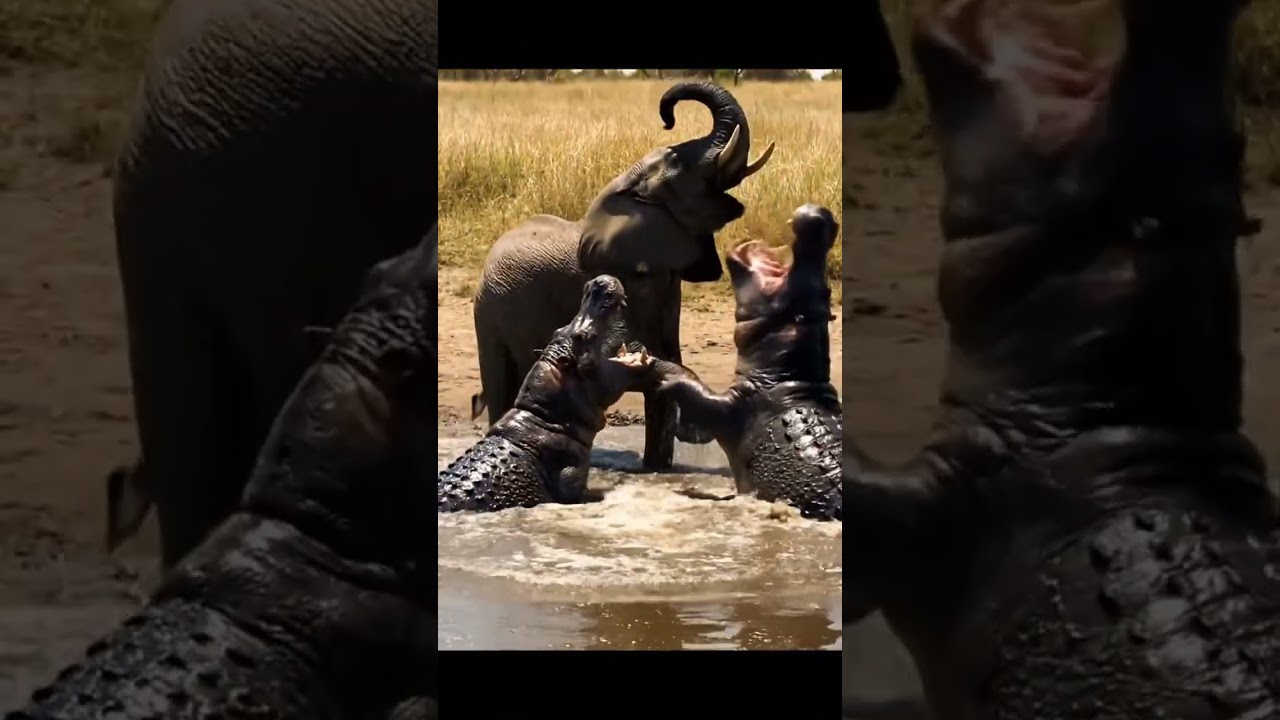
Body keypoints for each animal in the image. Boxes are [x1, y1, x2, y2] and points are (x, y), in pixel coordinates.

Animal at [655, 204, 842, 521]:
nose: (821, 217)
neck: (789, 375)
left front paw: (663, 373)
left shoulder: (732, 405)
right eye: (825, 294)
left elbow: (694, 388)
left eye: (799, 294)